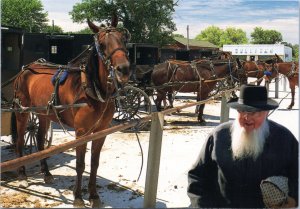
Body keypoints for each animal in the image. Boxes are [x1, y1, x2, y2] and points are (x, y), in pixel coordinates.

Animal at [11, 18, 131, 207]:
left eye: (123, 39)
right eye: (102, 44)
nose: (124, 69)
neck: (91, 89)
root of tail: (26, 68)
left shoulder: (101, 132)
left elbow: (94, 163)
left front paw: (94, 196)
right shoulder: (81, 132)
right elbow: (80, 164)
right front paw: (78, 197)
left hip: (43, 114)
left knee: (40, 140)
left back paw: (46, 173)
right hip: (22, 113)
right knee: (20, 141)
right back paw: (22, 175)